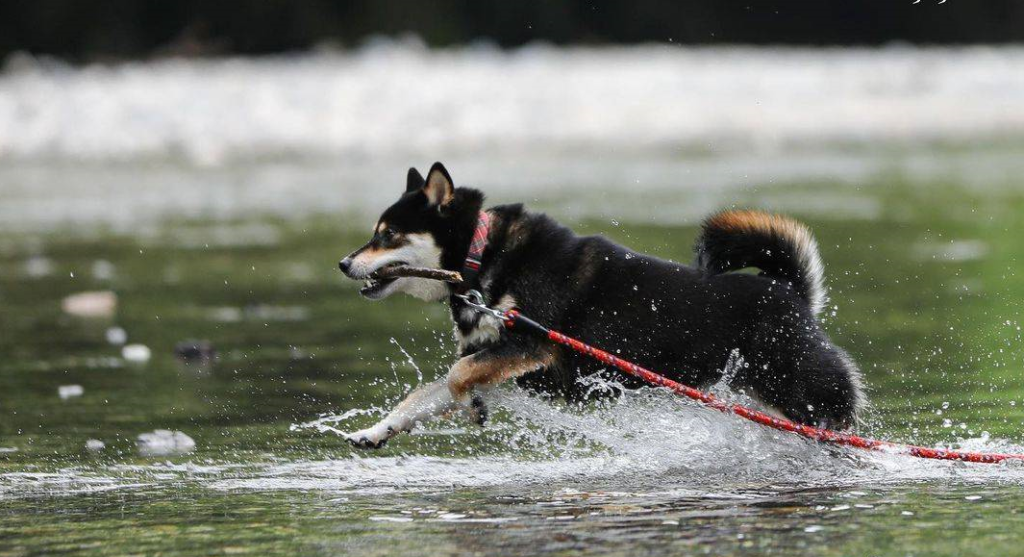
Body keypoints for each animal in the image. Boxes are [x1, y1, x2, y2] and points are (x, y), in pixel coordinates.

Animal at [337, 161, 864, 448]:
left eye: (387, 235)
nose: (344, 262)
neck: (480, 255)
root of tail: (793, 294)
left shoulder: (532, 344)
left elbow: (455, 376)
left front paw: (471, 407)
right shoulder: (509, 367)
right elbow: (425, 394)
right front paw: (377, 430)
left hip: (806, 393)